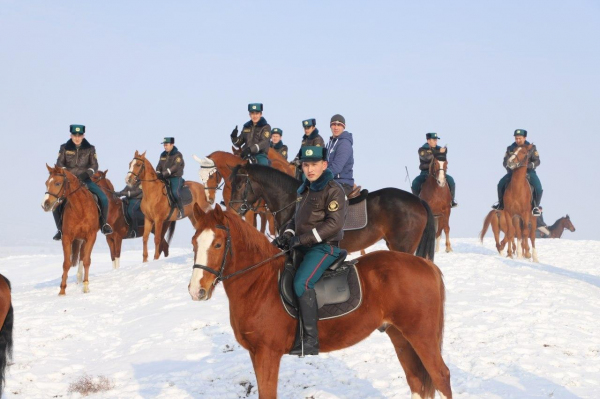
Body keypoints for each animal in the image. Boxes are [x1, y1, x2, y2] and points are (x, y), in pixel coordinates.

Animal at [42, 165, 98, 294]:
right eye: (46, 183)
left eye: (57, 183)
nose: (44, 204)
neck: (80, 208)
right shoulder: (67, 237)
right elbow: (66, 263)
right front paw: (62, 290)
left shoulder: (91, 236)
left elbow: (87, 260)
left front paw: (86, 287)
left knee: (83, 257)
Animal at [188, 206, 450, 399]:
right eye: (194, 243)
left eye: (218, 244)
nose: (196, 291)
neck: (260, 282)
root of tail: (426, 265)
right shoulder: (256, 353)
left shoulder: (267, 353)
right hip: (399, 335)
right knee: (416, 379)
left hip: (421, 335)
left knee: (441, 376)